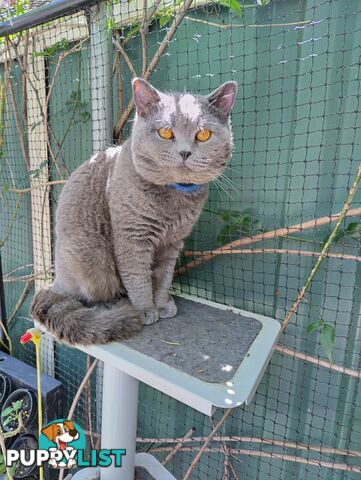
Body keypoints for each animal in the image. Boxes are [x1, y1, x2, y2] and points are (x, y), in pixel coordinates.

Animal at [31, 77, 238, 344]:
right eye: (165, 132)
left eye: (203, 134)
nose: (184, 152)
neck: (174, 201)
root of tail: (56, 281)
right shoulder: (132, 237)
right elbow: (138, 277)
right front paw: (145, 310)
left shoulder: (173, 243)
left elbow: (163, 278)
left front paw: (162, 304)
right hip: (91, 257)